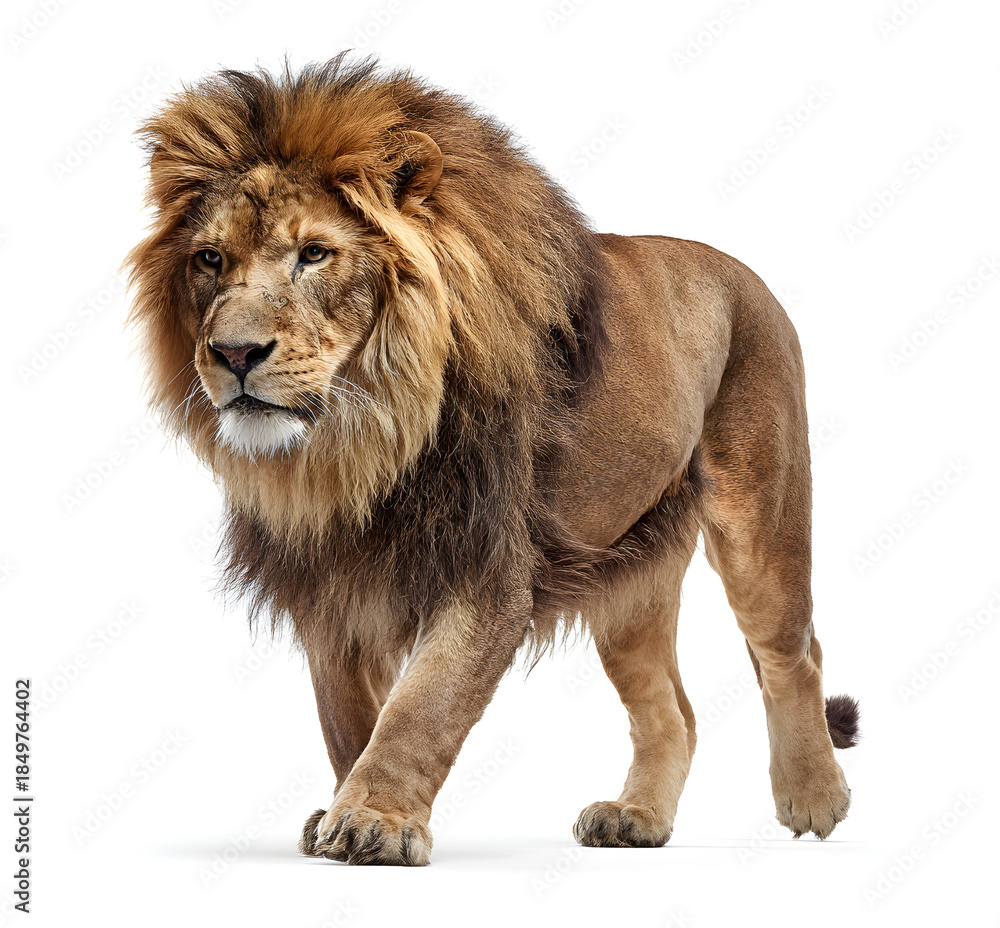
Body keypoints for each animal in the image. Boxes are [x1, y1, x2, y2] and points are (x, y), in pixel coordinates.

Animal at [126, 54, 859, 866]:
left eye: (314, 253)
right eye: (209, 259)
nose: (232, 354)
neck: (359, 442)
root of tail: (741, 271)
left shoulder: (486, 566)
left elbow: (423, 704)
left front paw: (375, 820)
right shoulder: (332, 585)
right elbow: (348, 716)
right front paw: (343, 809)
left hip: (762, 517)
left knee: (793, 652)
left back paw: (814, 795)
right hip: (628, 581)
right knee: (674, 710)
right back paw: (635, 818)